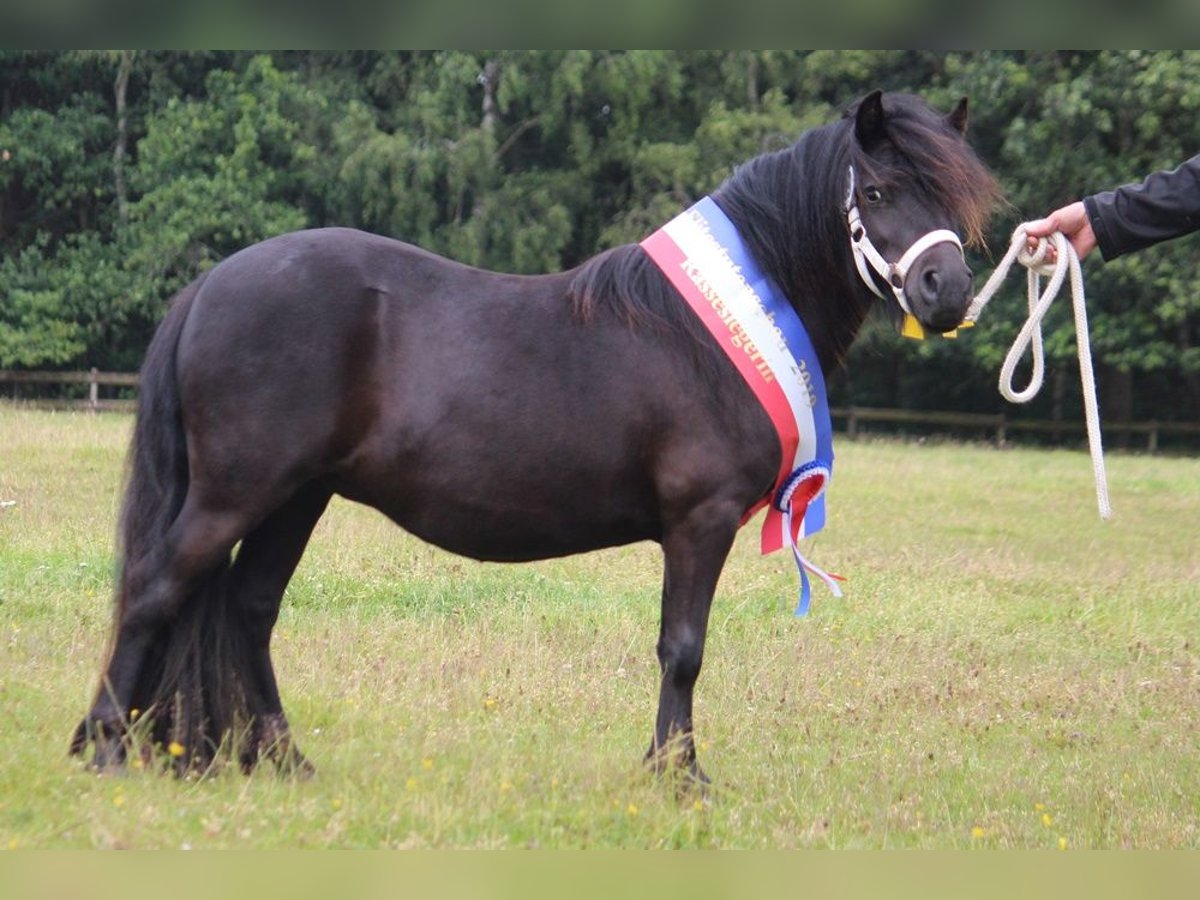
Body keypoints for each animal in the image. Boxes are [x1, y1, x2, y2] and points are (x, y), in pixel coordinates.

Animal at [72, 91, 1003, 782]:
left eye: (954, 195)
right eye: (876, 193)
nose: (947, 290)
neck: (710, 331)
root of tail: (212, 283)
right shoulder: (699, 522)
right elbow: (683, 650)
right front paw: (678, 776)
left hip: (294, 498)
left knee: (248, 610)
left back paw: (283, 760)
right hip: (237, 492)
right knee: (155, 589)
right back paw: (109, 747)